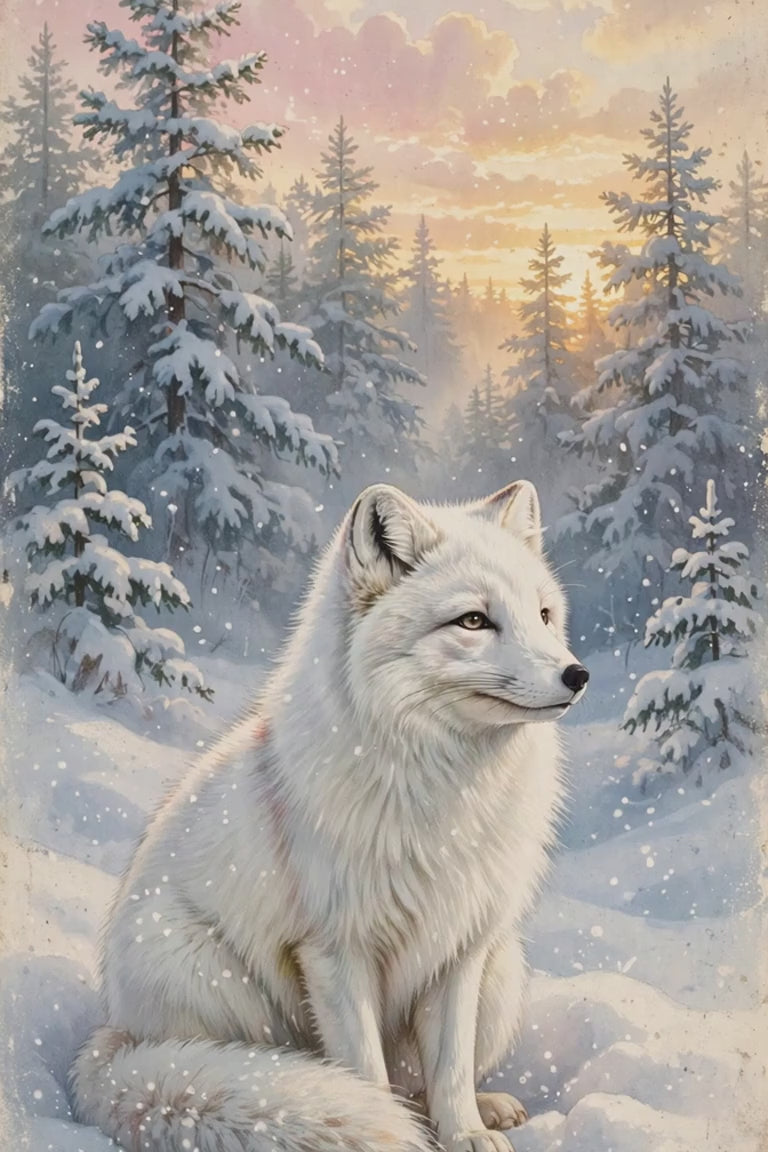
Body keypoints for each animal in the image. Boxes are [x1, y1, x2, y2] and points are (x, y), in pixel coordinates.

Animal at [70, 479, 589, 1152]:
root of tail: (118, 1039)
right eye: (474, 621)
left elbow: (449, 1067)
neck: (439, 790)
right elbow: (363, 1072)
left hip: (502, 973)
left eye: (545, 615)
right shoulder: (335, 953)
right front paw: (392, 1132)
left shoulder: (458, 949)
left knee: (422, 1080)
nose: (578, 675)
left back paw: (486, 1107)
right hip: (220, 984)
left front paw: (464, 1134)